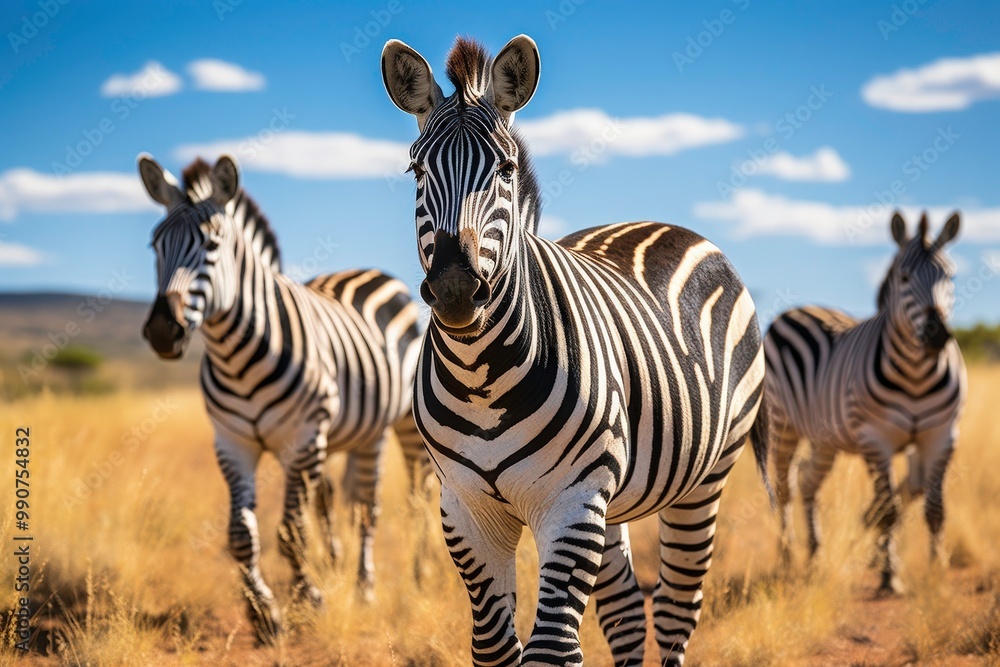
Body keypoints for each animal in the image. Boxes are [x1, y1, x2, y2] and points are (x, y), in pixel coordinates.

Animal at [137, 153, 431, 642]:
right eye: (155, 245)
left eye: (212, 244)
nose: (163, 331)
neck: (236, 356)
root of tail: (367, 272)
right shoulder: (233, 443)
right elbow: (242, 535)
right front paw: (263, 613)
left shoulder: (304, 437)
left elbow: (291, 531)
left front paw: (309, 599)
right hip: (352, 432)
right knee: (338, 499)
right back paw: (339, 563)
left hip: (400, 424)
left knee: (392, 503)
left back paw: (390, 582)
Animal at [381, 35, 770, 666]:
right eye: (417, 169)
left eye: (506, 169)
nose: (456, 288)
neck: (480, 376)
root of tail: (661, 224)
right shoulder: (465, 510)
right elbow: (495, 647)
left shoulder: (570, 502)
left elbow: (551, 649)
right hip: (611, 499)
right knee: (627, 615)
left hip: (701, 481)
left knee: (675, 611)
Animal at [765, 211, 966, 594]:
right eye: (904, 277)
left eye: (950, 276)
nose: (937, 336)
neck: (916, 376)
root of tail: (798, 309)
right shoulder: (876, 438)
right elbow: (888, 508)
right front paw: (889, 576)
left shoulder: (941, 435)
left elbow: (934, 509)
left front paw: (936, 574)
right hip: (783, 426)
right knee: (785, 487)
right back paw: (785, 558)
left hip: (826, 439)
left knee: (809, 482)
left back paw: (815, 553)